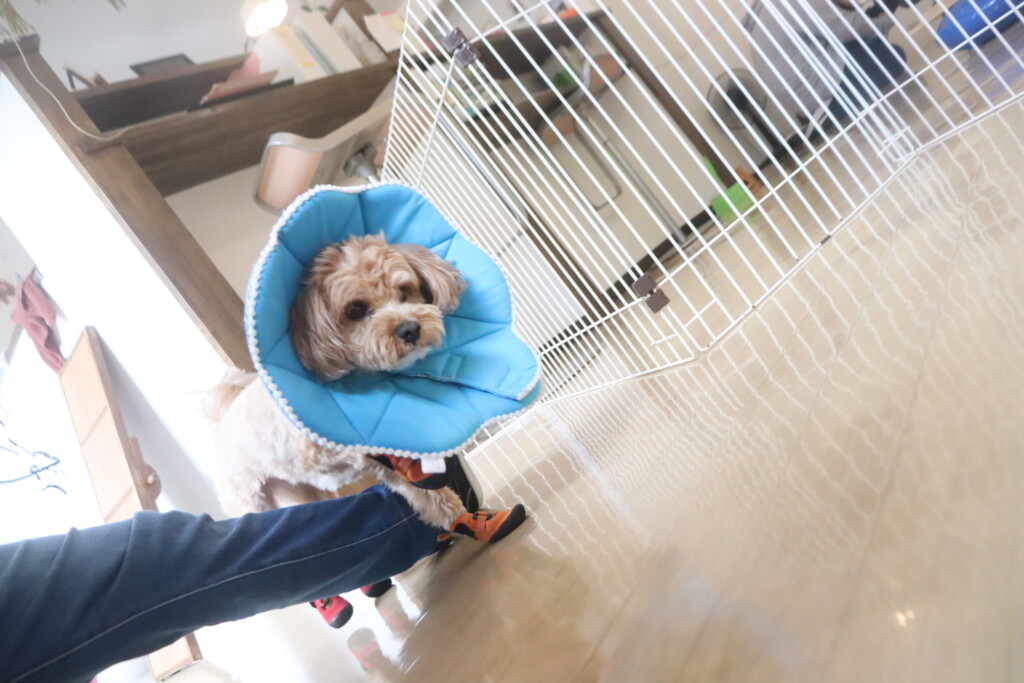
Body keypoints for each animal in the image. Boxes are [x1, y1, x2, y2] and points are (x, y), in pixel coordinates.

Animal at [206, 234, 470, 529]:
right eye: (355, 310)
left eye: (404, 291)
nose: (410, 329)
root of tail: (218, 423)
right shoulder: (313, 453)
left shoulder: (392, 468)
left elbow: (426, 493)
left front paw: (456, 516)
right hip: (248, 499)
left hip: (295, 490)